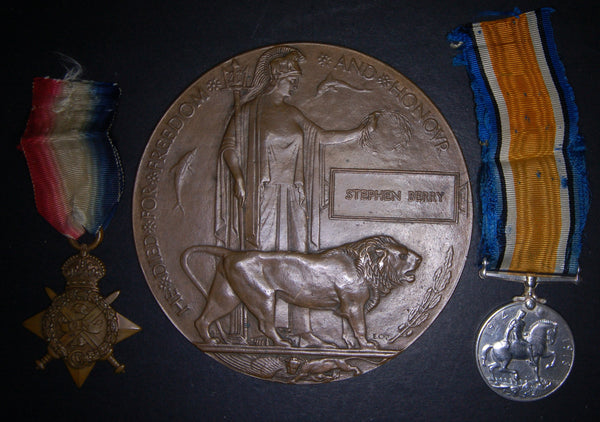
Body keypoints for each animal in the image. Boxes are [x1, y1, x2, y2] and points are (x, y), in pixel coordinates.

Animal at [185, 234, 420, 350]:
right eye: (402, 255)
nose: (420, 258)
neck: (365, 267)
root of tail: (231, 254)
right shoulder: (354, 305)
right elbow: (360, 327)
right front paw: (367, 344)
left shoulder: (346, 307)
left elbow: (348, 329)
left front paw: (350, 345)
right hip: (263, 297)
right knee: (265, 326)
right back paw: (282, 343)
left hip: (226, 296)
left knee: (202, 319)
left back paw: (211, 341)